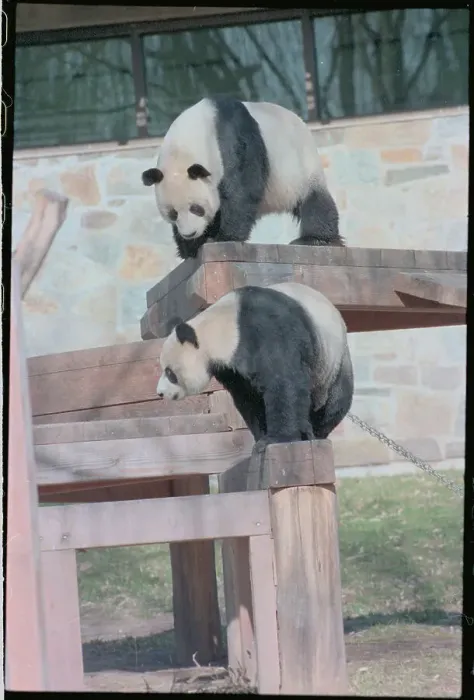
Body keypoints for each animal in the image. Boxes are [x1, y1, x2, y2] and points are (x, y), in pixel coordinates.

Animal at [142, 97, 343, 260]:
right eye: (172, 214)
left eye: (196, 208)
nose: (190, 233)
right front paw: (190, 246)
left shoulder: (233, 139)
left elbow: (242, 190)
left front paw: (223, 237)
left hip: (301, 167)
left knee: (314, 202)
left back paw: (315, 239)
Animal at [156, 282, 353, 450]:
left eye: (170, 372)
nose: (160, 393)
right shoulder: (232, 370)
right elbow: (248, 398)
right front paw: (262, 437)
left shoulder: (270, 331)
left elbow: (284, 383)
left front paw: (277, 439)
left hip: (333, 361)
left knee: (335, 402)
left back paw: (314, 432)